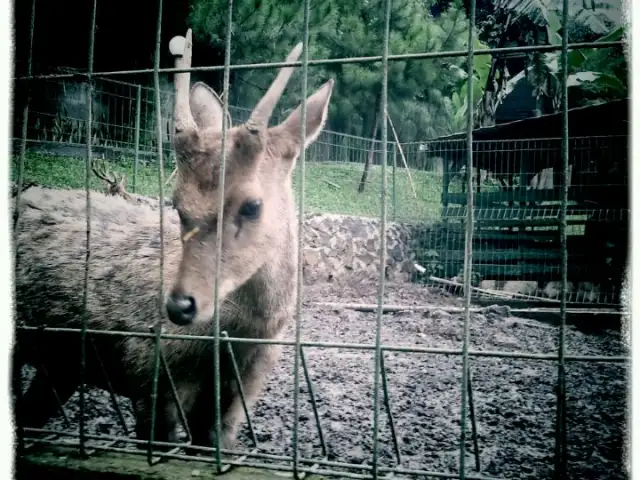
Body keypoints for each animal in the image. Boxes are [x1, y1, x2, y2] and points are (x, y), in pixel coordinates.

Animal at [12, 28, 336, 450]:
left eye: (251, 206)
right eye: (177, 203)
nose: (180, 305)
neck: (237, 338)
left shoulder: (239, 396)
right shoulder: (151, 374)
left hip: (59, 365)